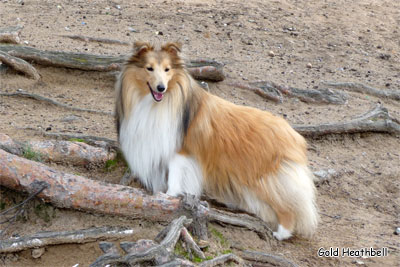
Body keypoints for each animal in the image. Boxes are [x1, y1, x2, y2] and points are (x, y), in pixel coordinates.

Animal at [115, 42, 318, 241]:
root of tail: (294, 136)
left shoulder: (179, 152)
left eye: (167, 69)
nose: (160, 88)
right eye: (149, 68)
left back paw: (281, 233)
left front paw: (169, 197)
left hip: (265, 181)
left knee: (288, 207)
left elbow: (174, 178)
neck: (163, 103)